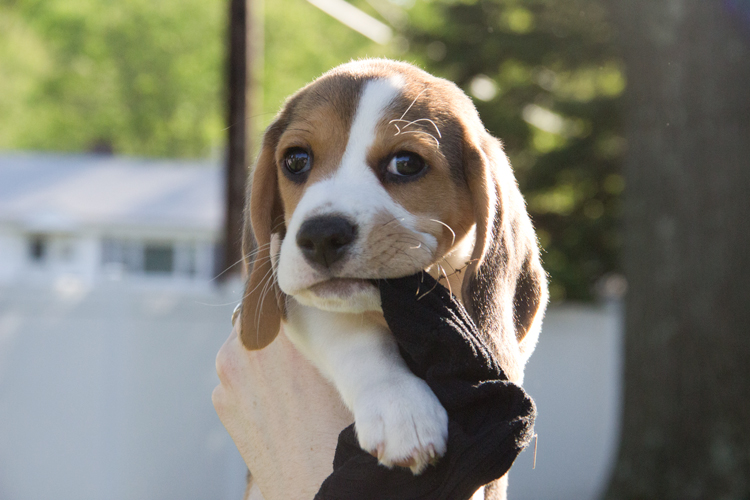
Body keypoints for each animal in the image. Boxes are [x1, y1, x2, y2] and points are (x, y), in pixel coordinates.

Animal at [238, 58, 548, 484]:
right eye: (296, 160)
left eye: (407, 164)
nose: (320, 236)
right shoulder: (300, 302)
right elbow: (352, 333)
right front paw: (402, 409)